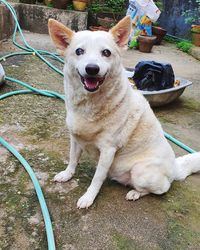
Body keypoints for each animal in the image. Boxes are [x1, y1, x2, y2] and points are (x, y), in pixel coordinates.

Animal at [48, 16, 200, 209]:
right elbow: (73, 159)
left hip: (140, 172)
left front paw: (88, 197)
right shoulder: (75, 138)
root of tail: (174, 167)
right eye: (79, 51)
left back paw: (135, 193)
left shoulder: (108, 151)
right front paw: (67, 174)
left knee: (161, 189)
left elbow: (97, 179)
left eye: (106, 52)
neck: (90, 104)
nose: (92, 69)